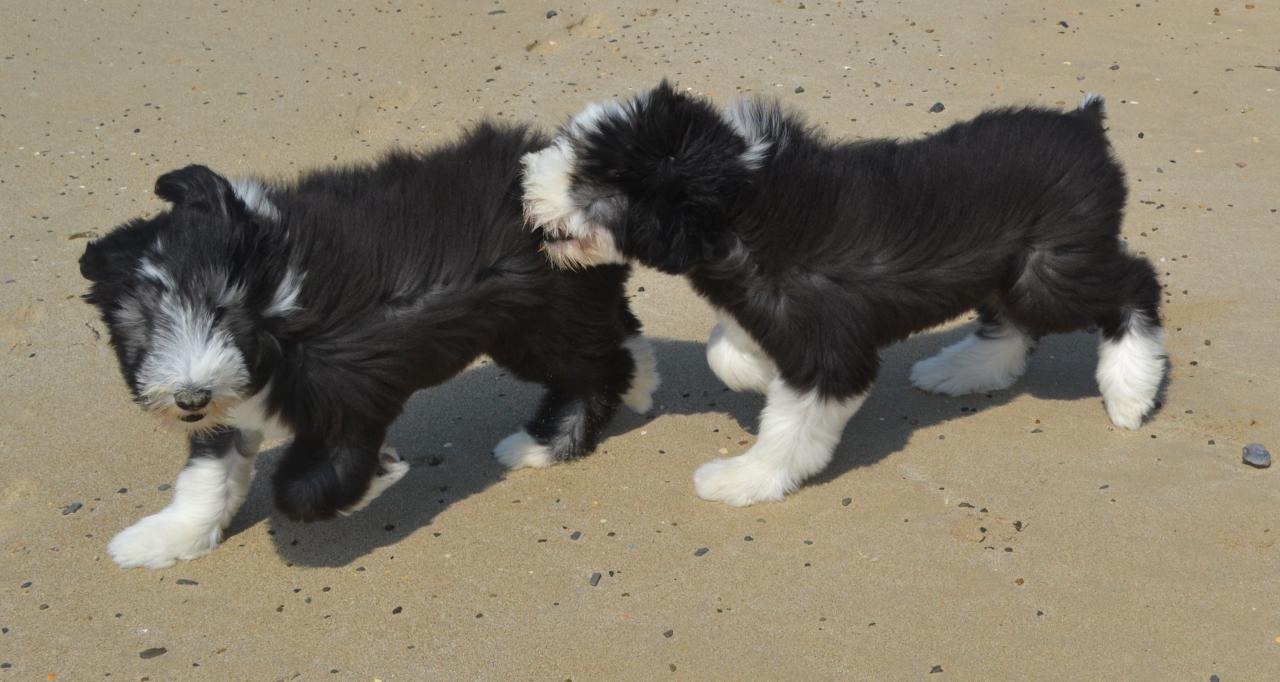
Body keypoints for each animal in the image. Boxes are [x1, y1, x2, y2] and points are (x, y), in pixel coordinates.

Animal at [82, 119, 660, 565]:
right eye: (140, 322)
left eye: (221, 309)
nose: (191, 398)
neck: (273, 305)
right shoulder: (231, 406)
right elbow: (206, 476)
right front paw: (166, 537)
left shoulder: (351, 394)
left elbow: (304, 489)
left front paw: (382, 470)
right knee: (618, 335)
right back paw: (643, 379)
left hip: (538, 329)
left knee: (598, 369)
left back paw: (545, 443)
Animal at [522, 81, 1172, 504]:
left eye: (592, 175)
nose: (527, 179)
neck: (738, 209)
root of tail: (1084, 125)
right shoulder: (773, 310)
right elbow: (724, 348)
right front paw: (755, 375)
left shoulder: (828, 349)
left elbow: (791, 427)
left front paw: (745, 480)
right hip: (1011, 268)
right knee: (1012, 325)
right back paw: (959, 370)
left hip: (1049, 269)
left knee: (1134, 286)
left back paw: (1130, 393)